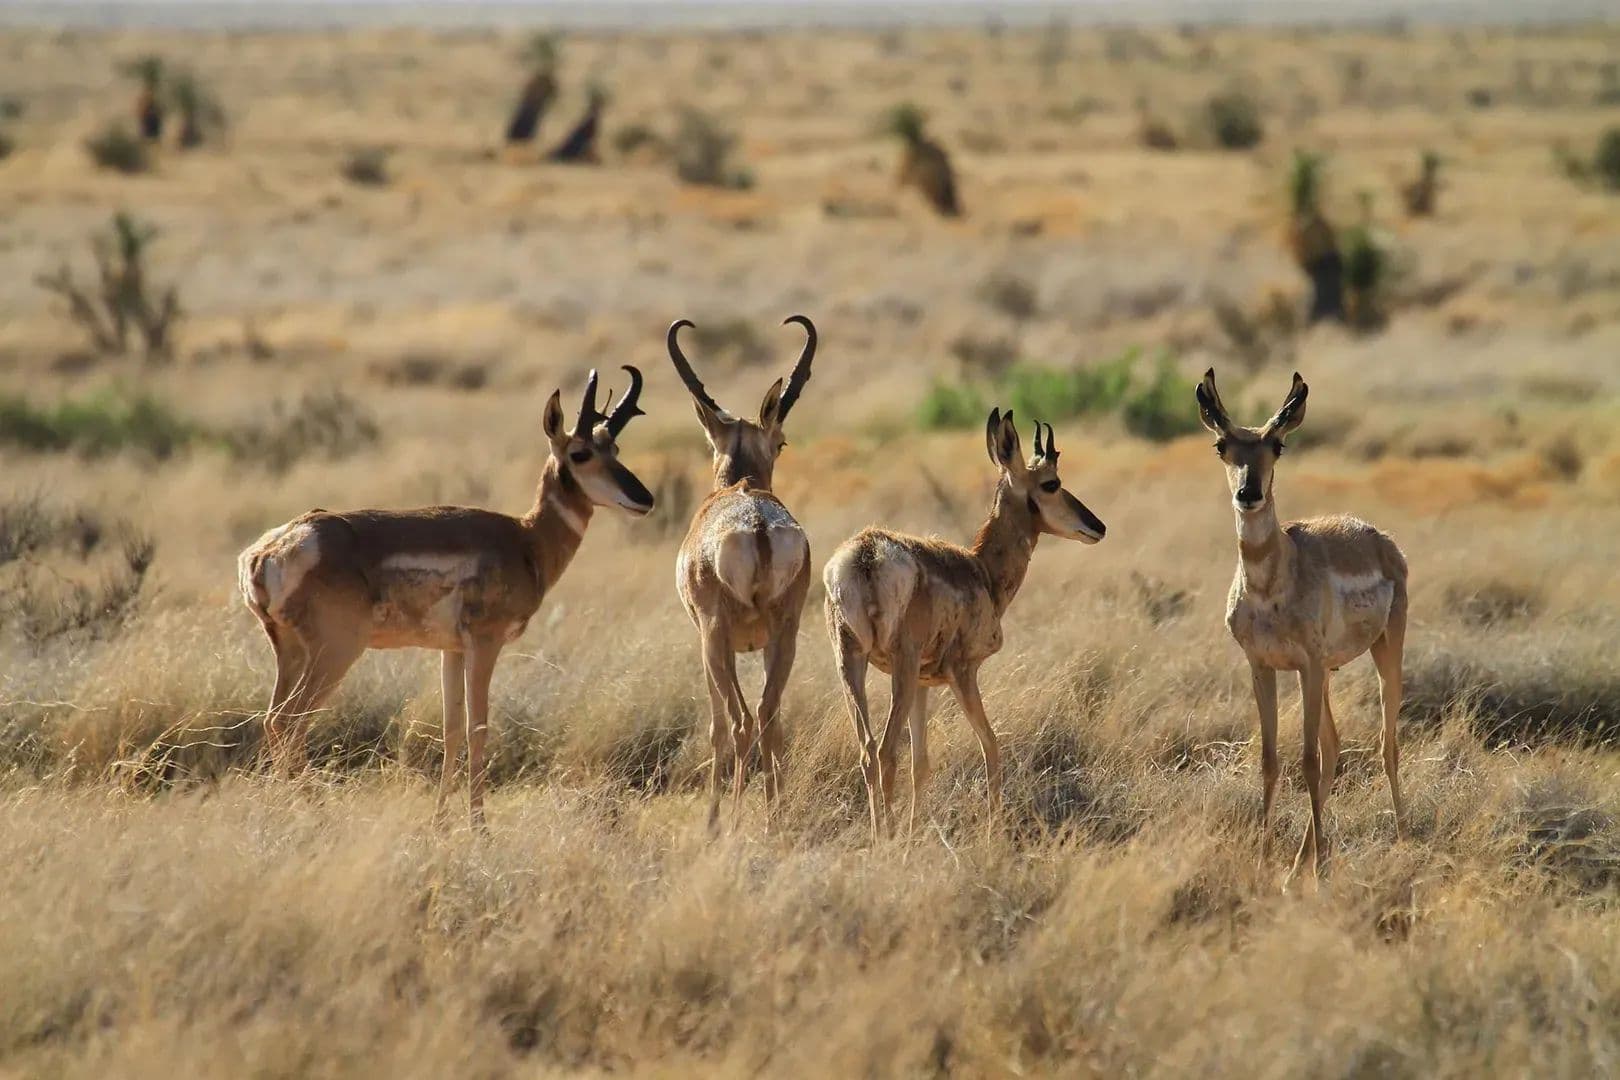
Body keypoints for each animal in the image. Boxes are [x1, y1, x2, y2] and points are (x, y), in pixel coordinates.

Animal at [237, 368, 653, 827]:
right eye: (580, 453)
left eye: (614, 447)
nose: (644, 499)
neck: (525, 538)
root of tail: (272, 549)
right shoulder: (485, 644)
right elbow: (479, 727)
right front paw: (479, 825)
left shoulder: (451, 650)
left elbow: (452, 728)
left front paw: (440, 822)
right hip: (336, 652)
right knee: (289, 719)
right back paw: (310, 809)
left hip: (291, 651)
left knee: (274, 718)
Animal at [667, 315, 816, 833]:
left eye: (781, 441)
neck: (740, 485)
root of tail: (756, 523)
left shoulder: (708, 640)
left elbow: (715, 724)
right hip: (785, 634)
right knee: (769, 715)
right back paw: (774, 818)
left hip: (717, 639)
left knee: (739, 721)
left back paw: (725, 822)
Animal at [824, 410, 1106, 842]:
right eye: (1051, 483)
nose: (1097, 526)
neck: (980, 569)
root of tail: (865, 552)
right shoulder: (963, 671)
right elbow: (991, 745)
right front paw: (995, 832)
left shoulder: (924, 685)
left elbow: (921, 762)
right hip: (900, 668)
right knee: (886, 751)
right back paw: (887, 839)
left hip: (851, 664)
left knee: (869, 751)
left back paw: (880, 836)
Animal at [1195, 368, 1408, 884]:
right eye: (1222, 445)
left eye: (1277, 444)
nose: (1248, 494)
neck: (1273, 582)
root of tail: (1380, 538)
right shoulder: (1264, 667)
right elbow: (1271, 761)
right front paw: (1266, 862)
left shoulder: (1306, 666)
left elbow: (1307, 761)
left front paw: (1319, 870)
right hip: (1326, 674)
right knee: (1335, 748)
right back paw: (1298, 866)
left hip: (1383, 652)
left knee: (1385, 744)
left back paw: (1403, 843)